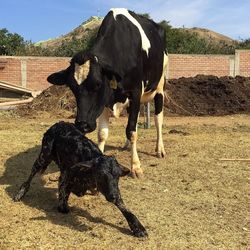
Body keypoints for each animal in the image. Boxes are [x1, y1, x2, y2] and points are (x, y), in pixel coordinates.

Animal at [13, 122, 146, 237]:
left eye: (117, 177)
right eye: (101, 176)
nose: (114, 196)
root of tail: (59, 123)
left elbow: (125, 208)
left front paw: (138, 228)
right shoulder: (65, 177)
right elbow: (63, 201)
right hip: (44, 157)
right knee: (31, 175)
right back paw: (20, 193)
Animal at [47, 8, 168, 178]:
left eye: (98, 84)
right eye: (71, 87)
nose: (82, 124)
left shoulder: (136, 92)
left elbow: (132, 130)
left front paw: (136, 166)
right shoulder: (105, 101)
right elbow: (103, 134)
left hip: (159, 87)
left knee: (158, 120)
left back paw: (160, 149)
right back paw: (126, 145)